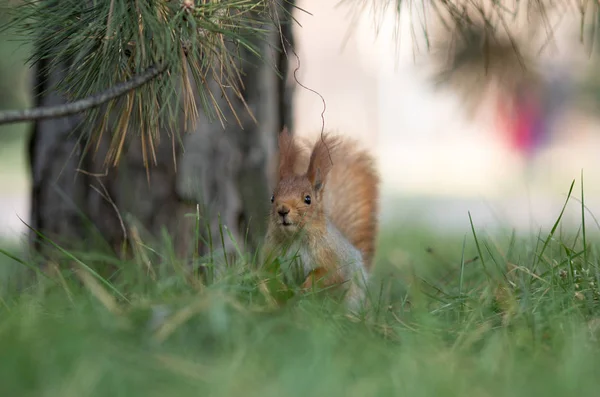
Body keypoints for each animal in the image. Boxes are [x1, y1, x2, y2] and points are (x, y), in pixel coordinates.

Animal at [264, 127, 380, 310]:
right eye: (272, 197)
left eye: (308, 199)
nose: (282, 210)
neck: (295, 238)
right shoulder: (271, 254)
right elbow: (269, 273)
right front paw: (282, 289)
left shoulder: (334, 257)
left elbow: (329, 275)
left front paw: (305, 288)